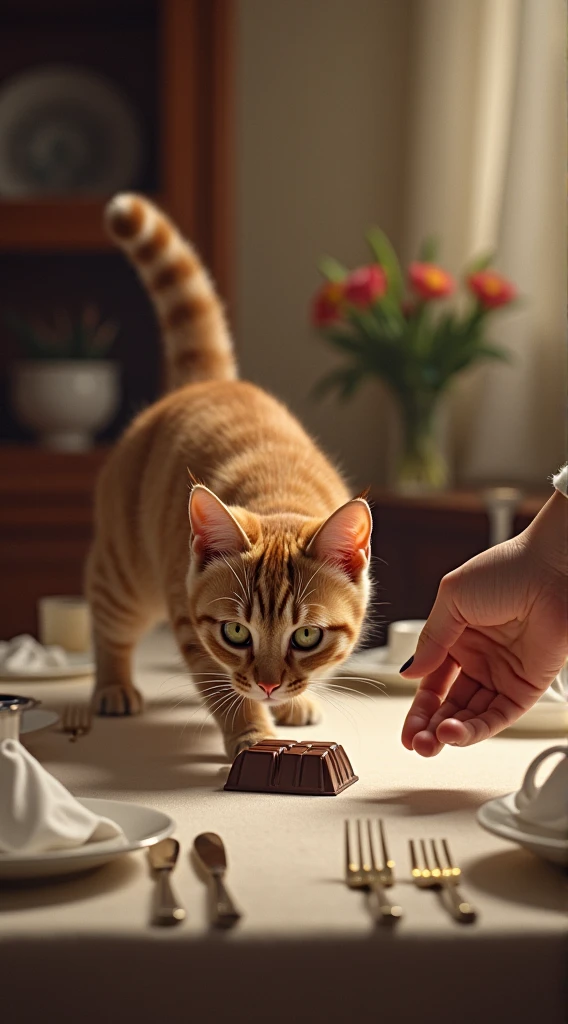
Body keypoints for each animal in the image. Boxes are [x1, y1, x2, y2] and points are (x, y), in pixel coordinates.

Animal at [86, 193, 372, 761]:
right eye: (237, 632)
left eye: (307, 637)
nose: (268, 684)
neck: (276, 493)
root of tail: (209, 381)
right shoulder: (190, 623)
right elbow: (223, 688)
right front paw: (254, 733)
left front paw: (293, 704)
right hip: (127, 574)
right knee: (107, 619)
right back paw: (113, 685)